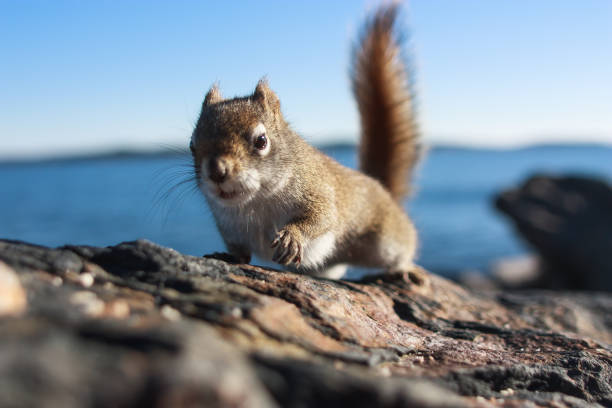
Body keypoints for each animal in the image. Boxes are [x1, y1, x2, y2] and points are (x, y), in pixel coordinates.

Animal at [189, 4, 424, 282]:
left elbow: (321, 218)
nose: (217, 171)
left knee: (402, 250)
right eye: (192, 145)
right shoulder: (230, 228)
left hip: (386, 240)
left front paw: (292, 237)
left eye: (261, 140)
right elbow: (241, 253)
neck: (256, 203)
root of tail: (383, 190)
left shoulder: (318, 192)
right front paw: (226, 256)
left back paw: (404, 270)